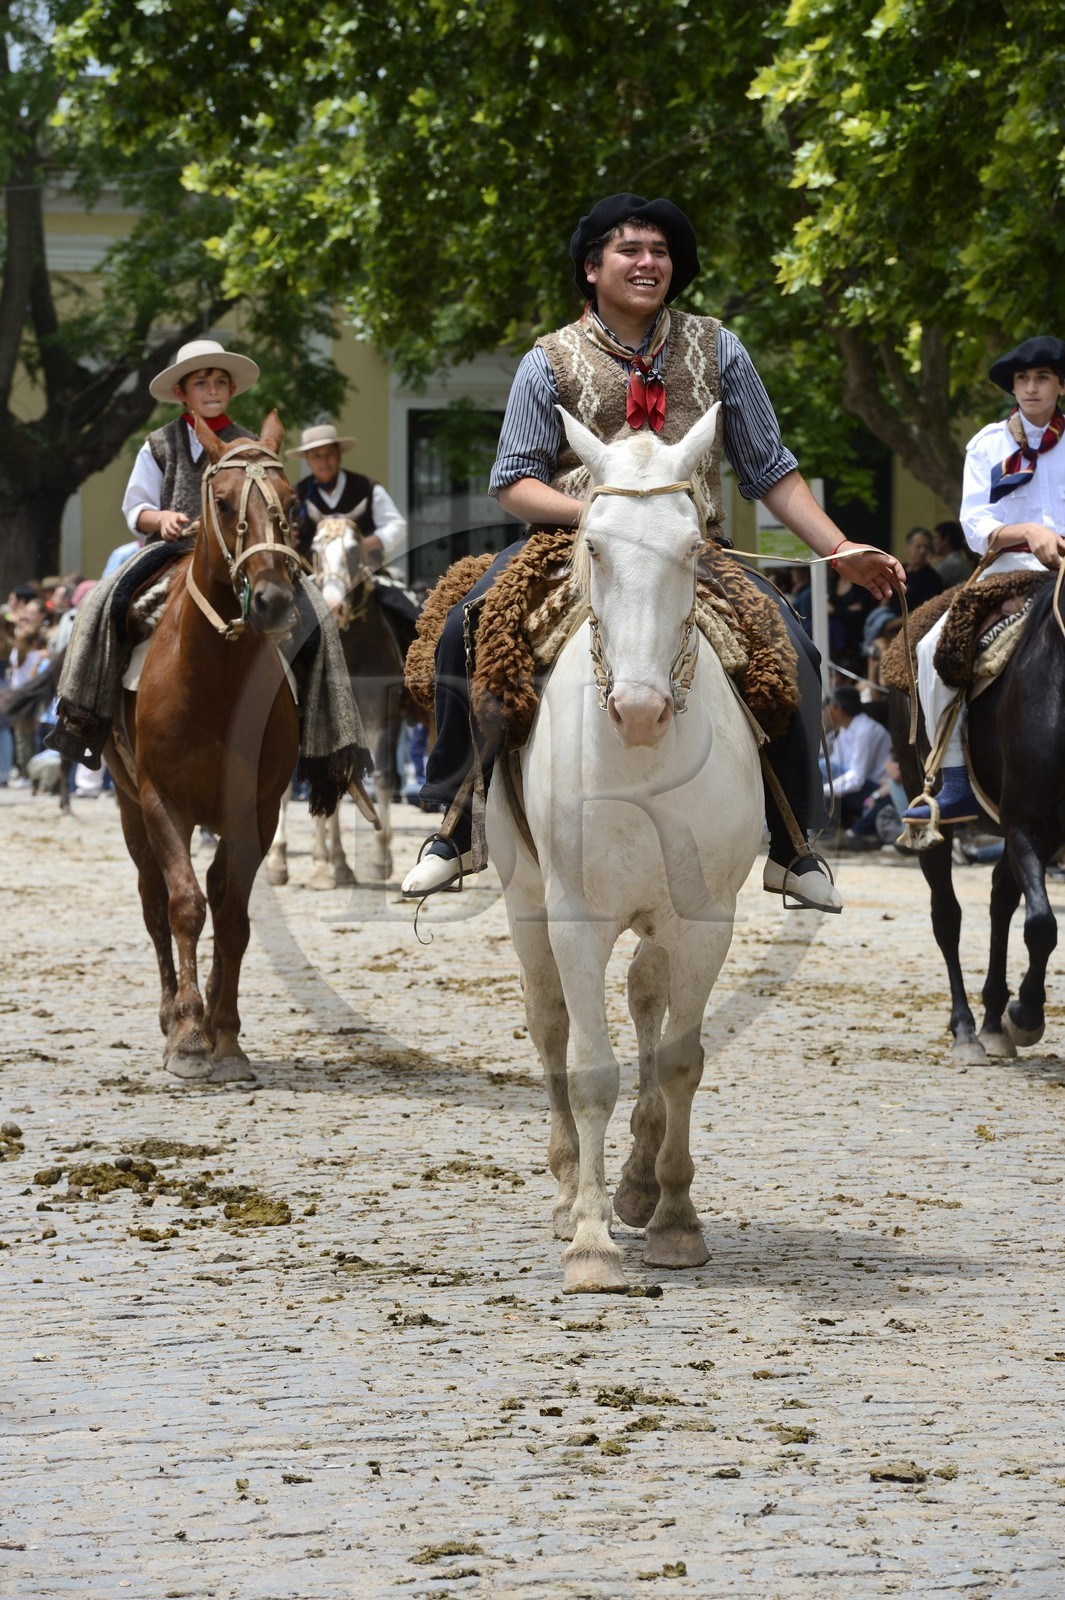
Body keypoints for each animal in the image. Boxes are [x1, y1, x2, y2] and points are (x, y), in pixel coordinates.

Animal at [107, 412, 306, 1083]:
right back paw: (172, 1013)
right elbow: (185, 906)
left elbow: (234, 914)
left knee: (220, 894)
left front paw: (226, 1035)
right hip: (129, 809)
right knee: (154, 902)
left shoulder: (257, 809)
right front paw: (190, 1036)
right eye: (221, 501)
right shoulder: (160, 801)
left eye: (292, 503)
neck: (215, 684)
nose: (272, 601)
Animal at [264, 514, 411, 888]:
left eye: (355, 549)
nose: (333, 604)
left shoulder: (380, 718)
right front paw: (295, 862)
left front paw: (379, 859)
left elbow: (383, 780)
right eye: (316, 549)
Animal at [485, 404, 764, 1294]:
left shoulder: (705, 921)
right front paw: (590, 1242)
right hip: (526, 905)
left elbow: (677, 1061)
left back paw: (639, 1184)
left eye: (691, 547)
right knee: (548, 1029)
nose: (639, 709)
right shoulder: (575, 918)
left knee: (646, 998)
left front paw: (674, 1218)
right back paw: (571, 1188)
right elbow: (591, 1069)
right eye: (596, 546)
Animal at [892, 579, 1065, 1063]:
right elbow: (1042, 926)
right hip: (931, 820)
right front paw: (1025, 1015)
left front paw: (1012, 1013)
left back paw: (991, 1021)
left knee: (1000, 899)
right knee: (947, 916)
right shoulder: (1027, 825)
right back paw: (968, 1028)